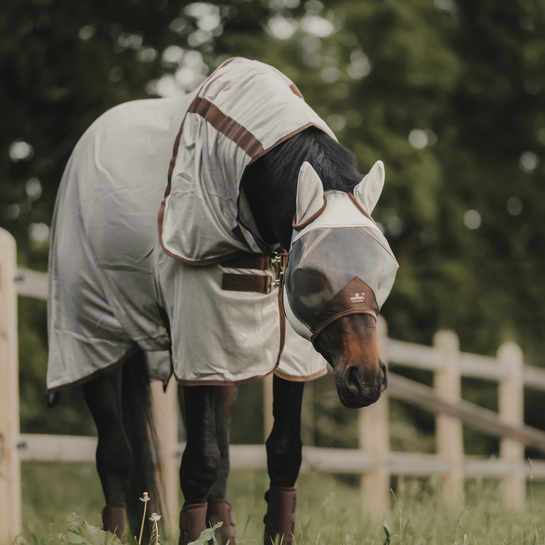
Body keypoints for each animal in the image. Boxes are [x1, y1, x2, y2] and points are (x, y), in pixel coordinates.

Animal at [46, 57, 396, 540]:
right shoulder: (199, 346)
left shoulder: (287, 351)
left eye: (385, 268)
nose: (366, 379)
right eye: (311, 275)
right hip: (93, 338)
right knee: (114, 454)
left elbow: (282, 453)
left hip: (232, 353)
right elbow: (199, 463)